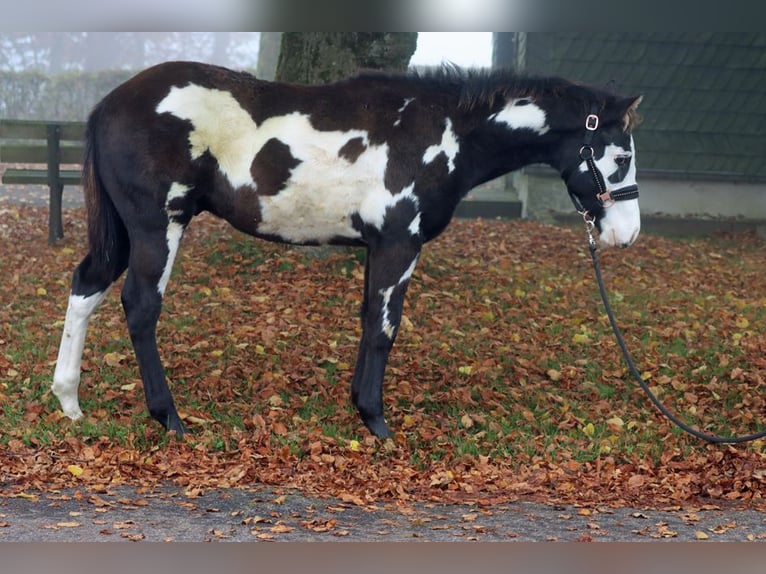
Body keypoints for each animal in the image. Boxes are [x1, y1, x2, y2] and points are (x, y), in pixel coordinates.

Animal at [51, 62, 644, 440]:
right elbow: (384, 329)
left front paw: (361, 410)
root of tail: (109, 104)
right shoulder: (400, 243)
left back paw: (70, 401)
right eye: (620, 157)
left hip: (125, 233)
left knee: (86, 287)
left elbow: (367, 322)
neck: (445, 132)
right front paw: (377, 423)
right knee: (140, 307)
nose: (626, 235)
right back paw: (167, 418)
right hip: (158, 226)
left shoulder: (377, 246)